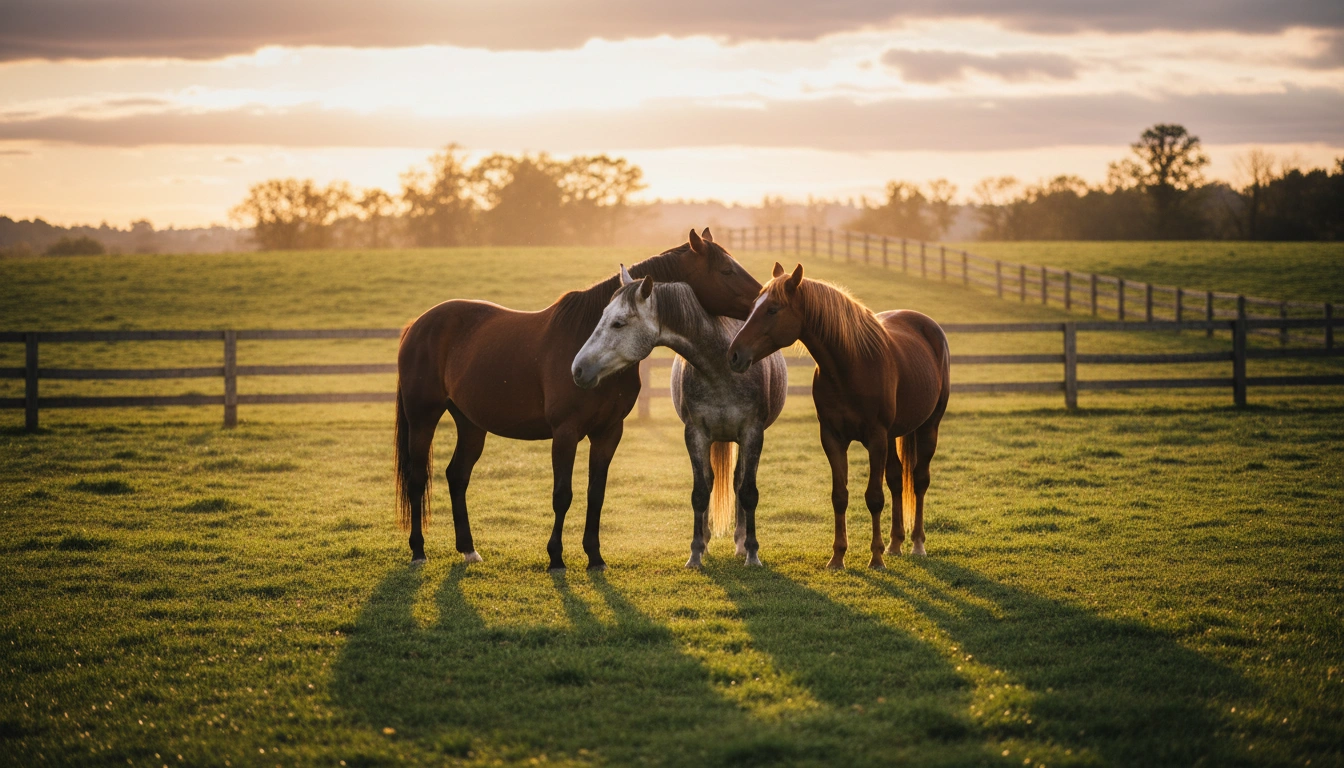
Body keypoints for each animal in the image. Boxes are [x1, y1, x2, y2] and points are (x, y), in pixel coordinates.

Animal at [394, 229, 762, 570]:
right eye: (727, 270)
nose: (761, 301)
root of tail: (417, 325)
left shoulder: (608, 433)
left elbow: (595, 494)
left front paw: (595, 557)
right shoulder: (565, 432)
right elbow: (562, 495)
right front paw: (556, 558)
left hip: (470, 424)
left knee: (457, 476)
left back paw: (468, 549)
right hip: (423, 417)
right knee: (417, 478)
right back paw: (418, 551)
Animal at [571, 268, 787, 568]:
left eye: (618, 323)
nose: (578, 369)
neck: (722, 367)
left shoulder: (753, 433)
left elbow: (747, 492)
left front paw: (752, 553)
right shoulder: (695, 433)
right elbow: (700, 492)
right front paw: (695, 553)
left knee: (737, 482)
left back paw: (741, 543)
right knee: (711, 481)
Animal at [727, 262, 950, 569]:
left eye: (772, 309)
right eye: (753, 307)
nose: (734, 355)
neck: (853, 364)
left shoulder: (876, 439)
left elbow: (874, 497)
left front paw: (875, 558)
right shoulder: (833, 438)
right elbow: (840, 496)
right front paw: (838, 556)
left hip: (929, 427)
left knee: (919, 480)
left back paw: (916, 544)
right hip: (893, 436)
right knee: (896, 480)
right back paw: (895, 544)